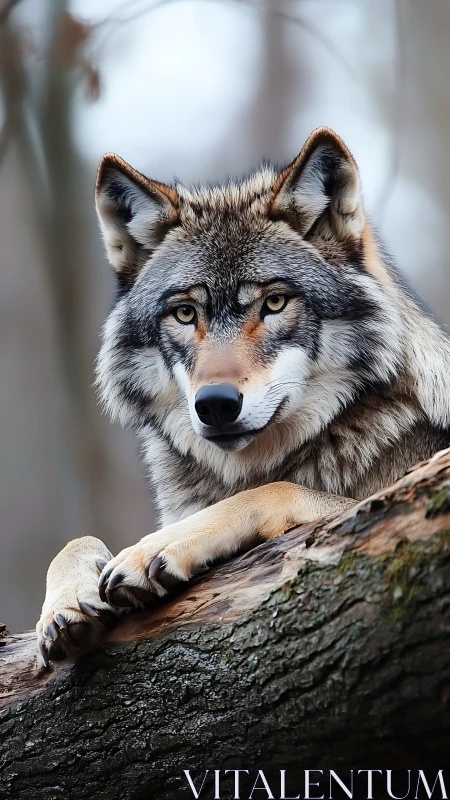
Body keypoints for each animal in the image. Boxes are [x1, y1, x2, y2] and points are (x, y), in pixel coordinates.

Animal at [36, 127, 450, 665]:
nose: (214, 403)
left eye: (274, 302)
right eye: (185, 313)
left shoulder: (392, 498)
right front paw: (65, 605)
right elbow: (75, 539)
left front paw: (154, 549)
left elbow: (273, 489)